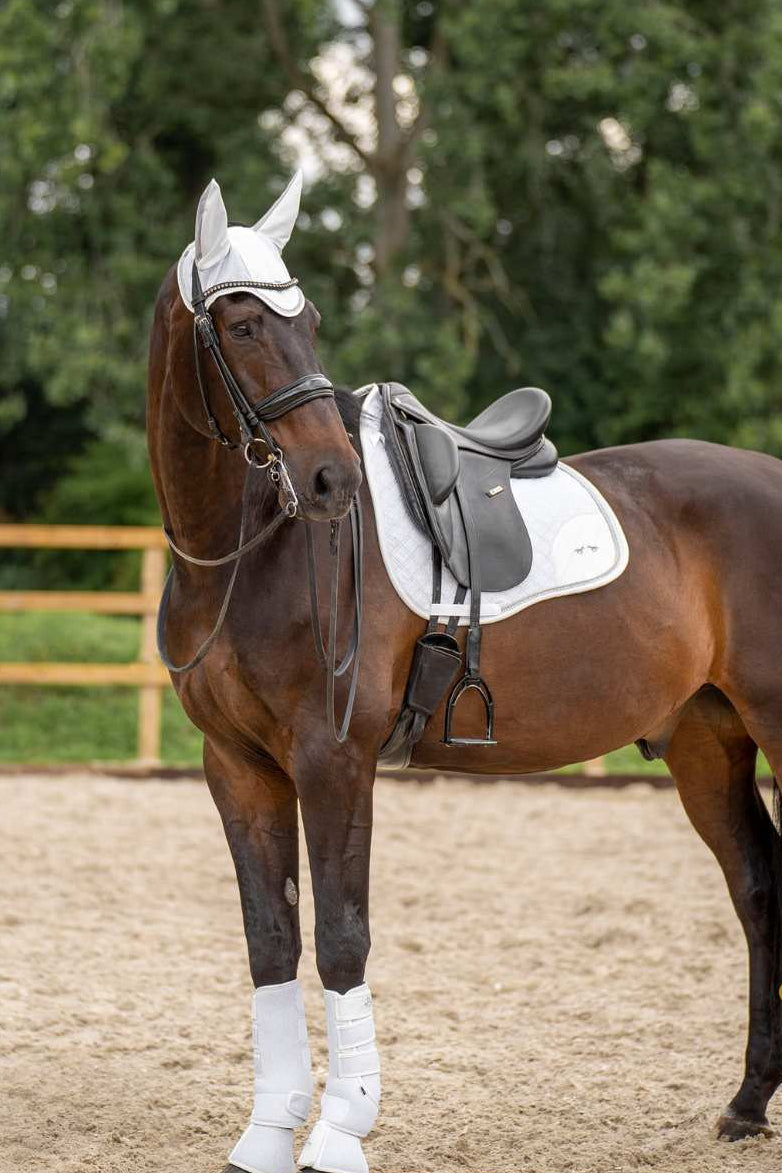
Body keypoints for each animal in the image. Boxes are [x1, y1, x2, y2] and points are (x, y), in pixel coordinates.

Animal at [147, 171, 782, 1173]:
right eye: (243, 324)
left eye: (309, 319)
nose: (328, 480)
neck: (252, 548)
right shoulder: (238, 767)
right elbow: (270, 940)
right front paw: (267, 1132)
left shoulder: (334, 760)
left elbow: (341, 937)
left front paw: (340, 1130)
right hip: (707, 740)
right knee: (757, 887)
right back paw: (748, 1102)